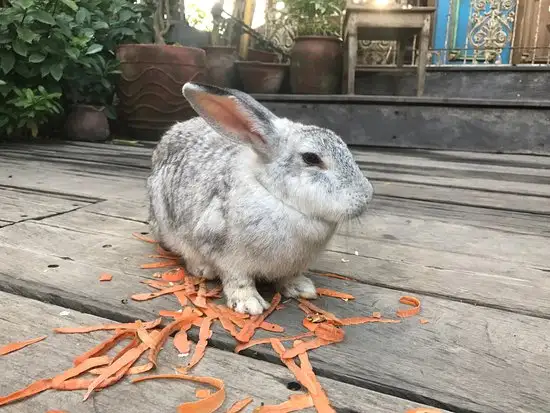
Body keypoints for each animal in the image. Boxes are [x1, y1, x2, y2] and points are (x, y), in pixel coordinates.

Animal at [147, 82, 376, 314]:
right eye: (311, 158)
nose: (366, 196)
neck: (277, 197)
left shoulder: (292, 266)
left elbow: (290, 277)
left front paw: (302, 288)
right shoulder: (226, 256)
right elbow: (238, 280)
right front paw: (249, 305)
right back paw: (203, 269)